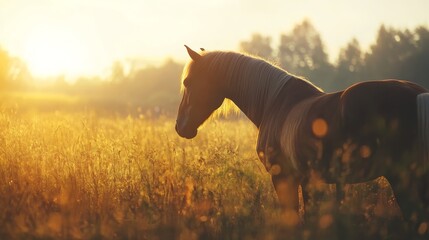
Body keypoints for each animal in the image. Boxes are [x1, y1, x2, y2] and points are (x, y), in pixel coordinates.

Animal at [174, 45, 428, 234]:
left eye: (188, 83)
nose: (180, 127)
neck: (274, 104)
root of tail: (416, 93)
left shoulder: (284, 178)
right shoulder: (310, 181)